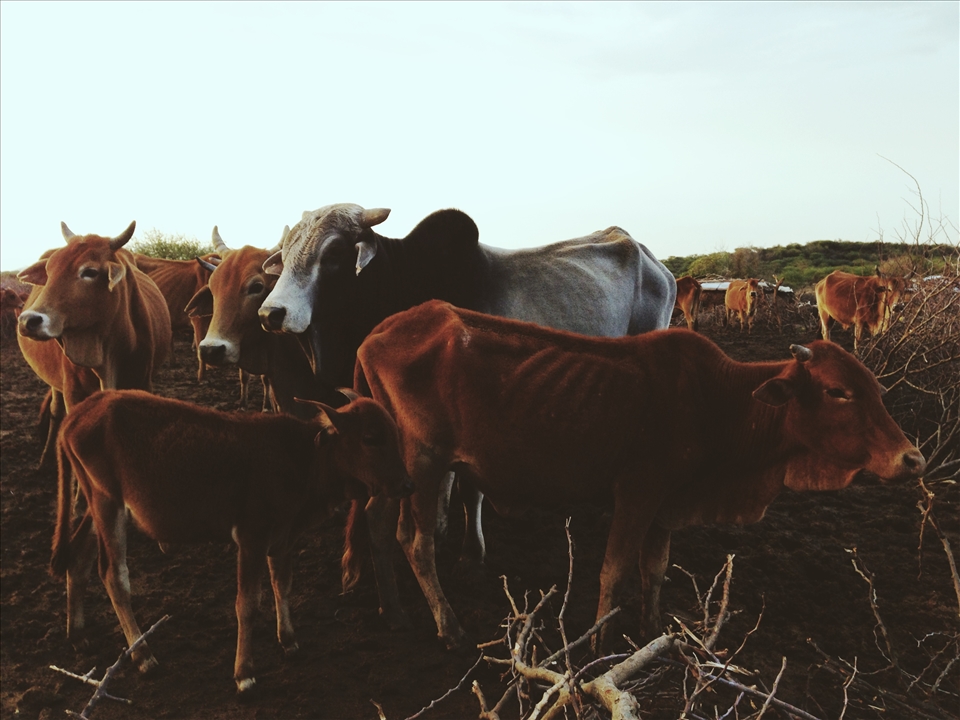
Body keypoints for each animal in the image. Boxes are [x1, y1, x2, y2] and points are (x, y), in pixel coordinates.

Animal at [17, 222, 172, 463]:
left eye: (89, 272)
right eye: (49, 271)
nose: (28, 321)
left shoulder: (142, 383)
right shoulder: (74, 392)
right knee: (55, 411)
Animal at [51, 389, 412, 695]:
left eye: (395, 433)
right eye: (370, 438)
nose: (406, 483)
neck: (304, 459)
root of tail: (76, 416)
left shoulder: (283, 537)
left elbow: (282, 585)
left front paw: (289, 641)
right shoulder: (251, 538)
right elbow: (247, 604)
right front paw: (244, 674)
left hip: (97, 504)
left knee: (78, 559)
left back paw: (78, 635)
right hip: (107, 502)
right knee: (114, 575)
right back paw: (144, 657)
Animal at [256, 202, 677, 577]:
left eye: (333, 253)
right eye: (287, 252)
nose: (270, 313)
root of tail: (650, 258)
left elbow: (469, 487)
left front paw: (471, 552)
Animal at [354, 300, 925, 649]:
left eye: (873, 387)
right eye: (838, 391)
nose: (912, 459)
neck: (719, 401)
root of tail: (379, 330)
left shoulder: (667, 504)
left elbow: (655, 569)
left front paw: (650, 630)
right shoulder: (636, 493)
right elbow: (615, 570)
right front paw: (602, 643)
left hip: (398, 469)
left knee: (377, 523)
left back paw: (393, 611)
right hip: (425, 462)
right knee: (416, 542)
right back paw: (448, 627)